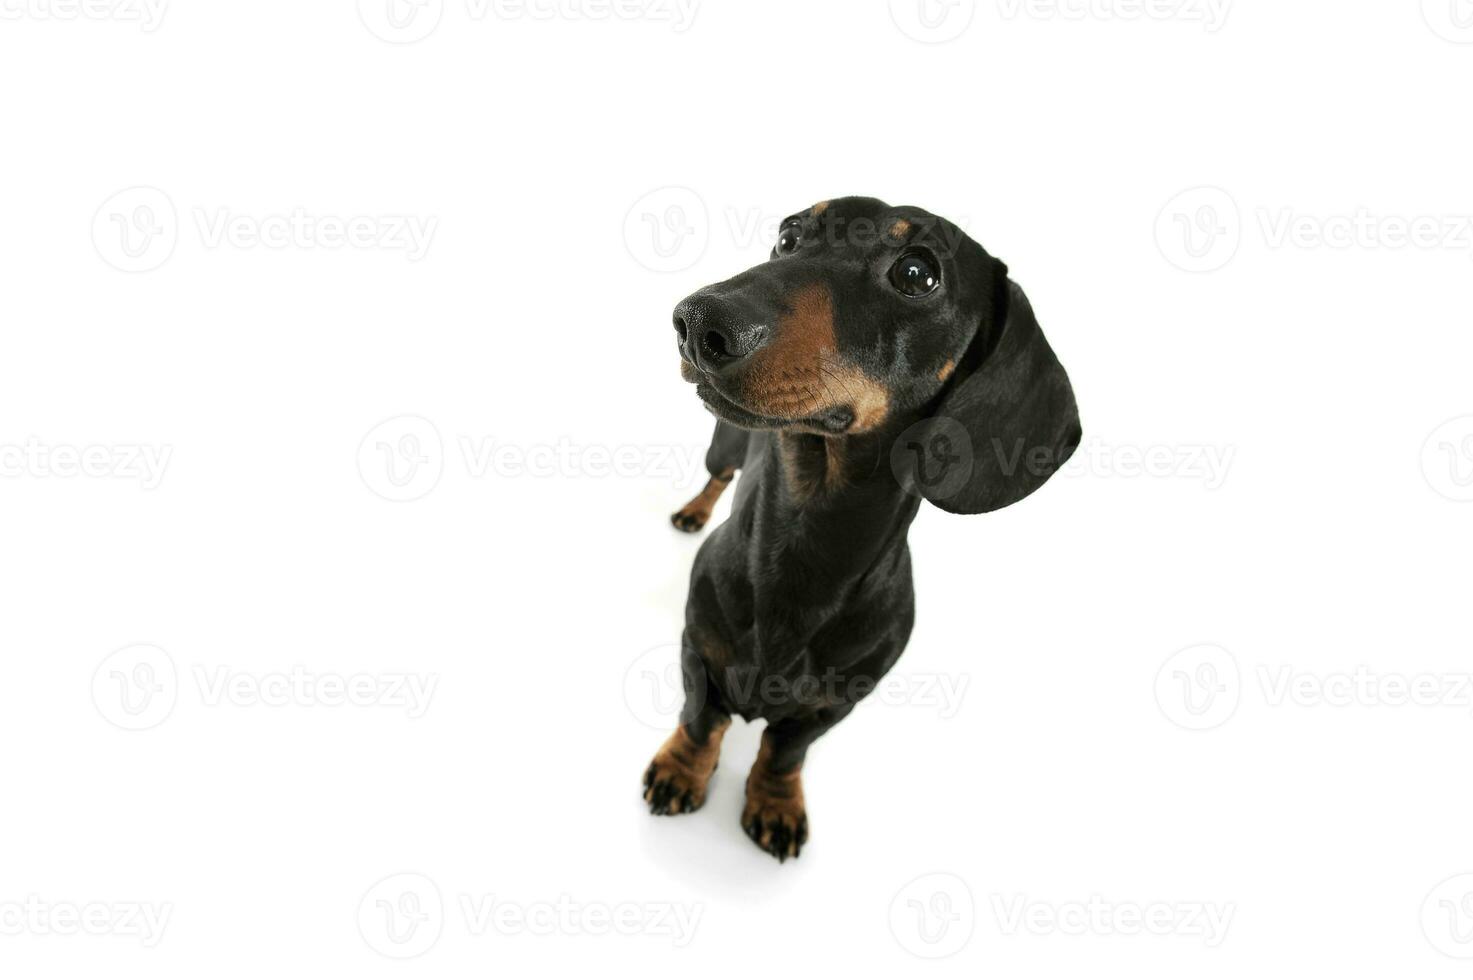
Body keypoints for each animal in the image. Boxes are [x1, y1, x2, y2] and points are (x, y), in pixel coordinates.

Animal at [648, 197, 1084, 854]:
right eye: (789, 236)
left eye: (917, 273)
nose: (696, 321)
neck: (805, 540)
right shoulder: (696, 651)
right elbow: (700, 722)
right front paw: (681, 772)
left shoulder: (831, 709)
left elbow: (783, 751)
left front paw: (775, 802)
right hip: (724, 444)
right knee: (717, 476)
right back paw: (695, 511)